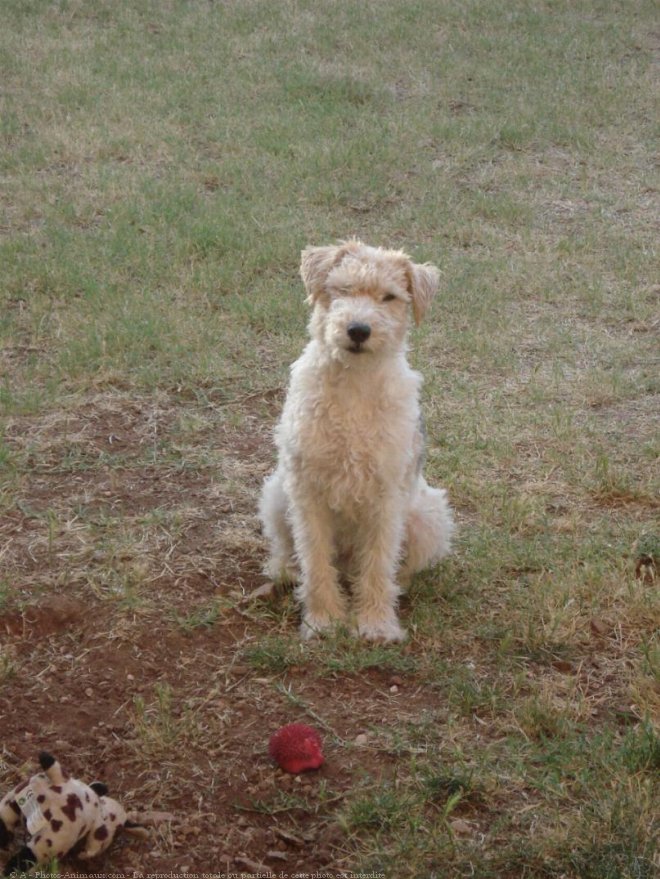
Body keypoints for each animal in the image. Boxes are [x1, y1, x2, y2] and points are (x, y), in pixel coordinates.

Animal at [258, 241, 454, 640]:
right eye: (342, 289)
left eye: (389, 297)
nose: (358, 330)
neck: (353, 383)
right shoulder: (308, 491)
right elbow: (315, 560)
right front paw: (323, 621)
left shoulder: (386, 496)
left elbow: (378, 563)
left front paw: (376, 625)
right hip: (276, 494)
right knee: (290, 550)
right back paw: (283, 572)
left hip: (428, 515)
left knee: (393, 567)